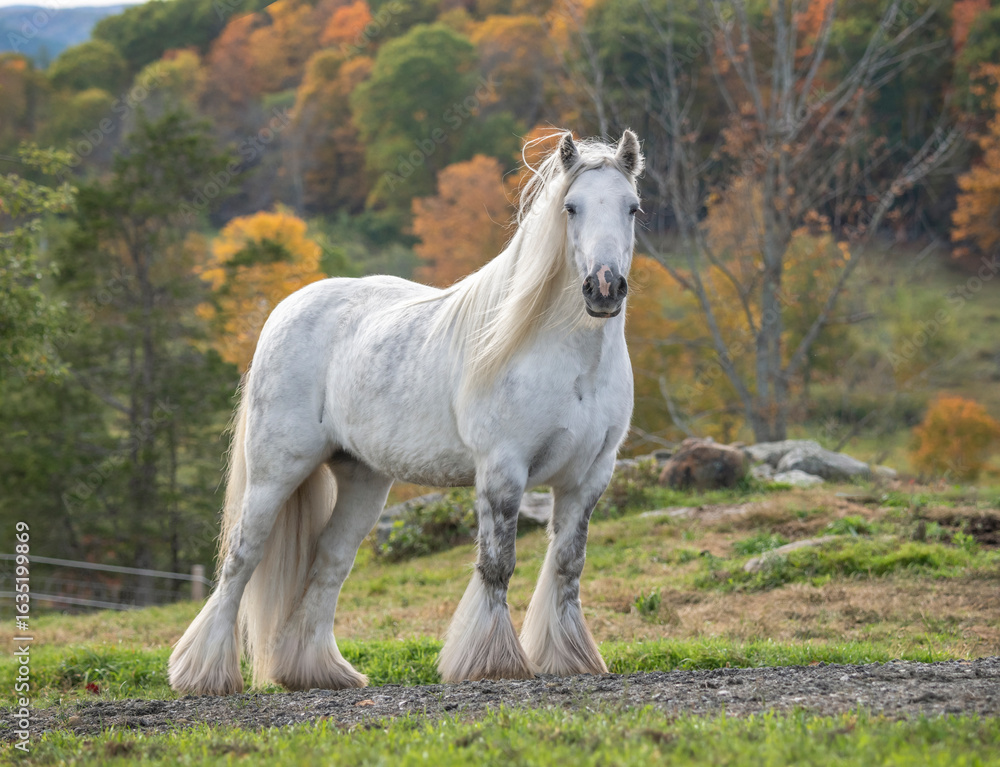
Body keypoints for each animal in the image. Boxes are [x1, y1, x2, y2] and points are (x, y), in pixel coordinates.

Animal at [168, 130, 644, 695]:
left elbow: (568, 566)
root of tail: (285, 308)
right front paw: (492, 662)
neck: (568, 358)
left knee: (330, 562)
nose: (604, 288)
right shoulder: (503, 470)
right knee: (241, 559)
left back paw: (316, 672)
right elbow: (497, 566)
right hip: (274, 473)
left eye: (632, 207)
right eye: (571, 207)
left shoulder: (589, 476)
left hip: (363, 481)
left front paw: (569, 658)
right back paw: (204, 674)